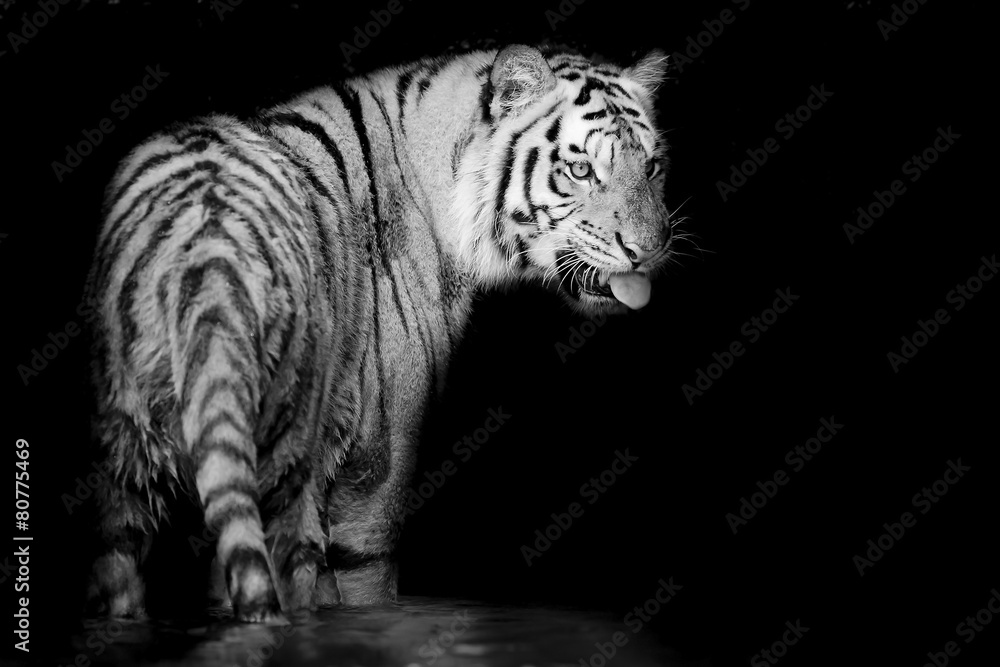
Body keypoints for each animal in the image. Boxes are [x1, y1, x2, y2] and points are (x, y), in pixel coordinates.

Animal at [86, 44, 675, 622]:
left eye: (652, 166)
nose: (648, 250)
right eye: (580, 169)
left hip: (123, 461)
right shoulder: (377, 466)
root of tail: (207, 241)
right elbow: (369, 579)